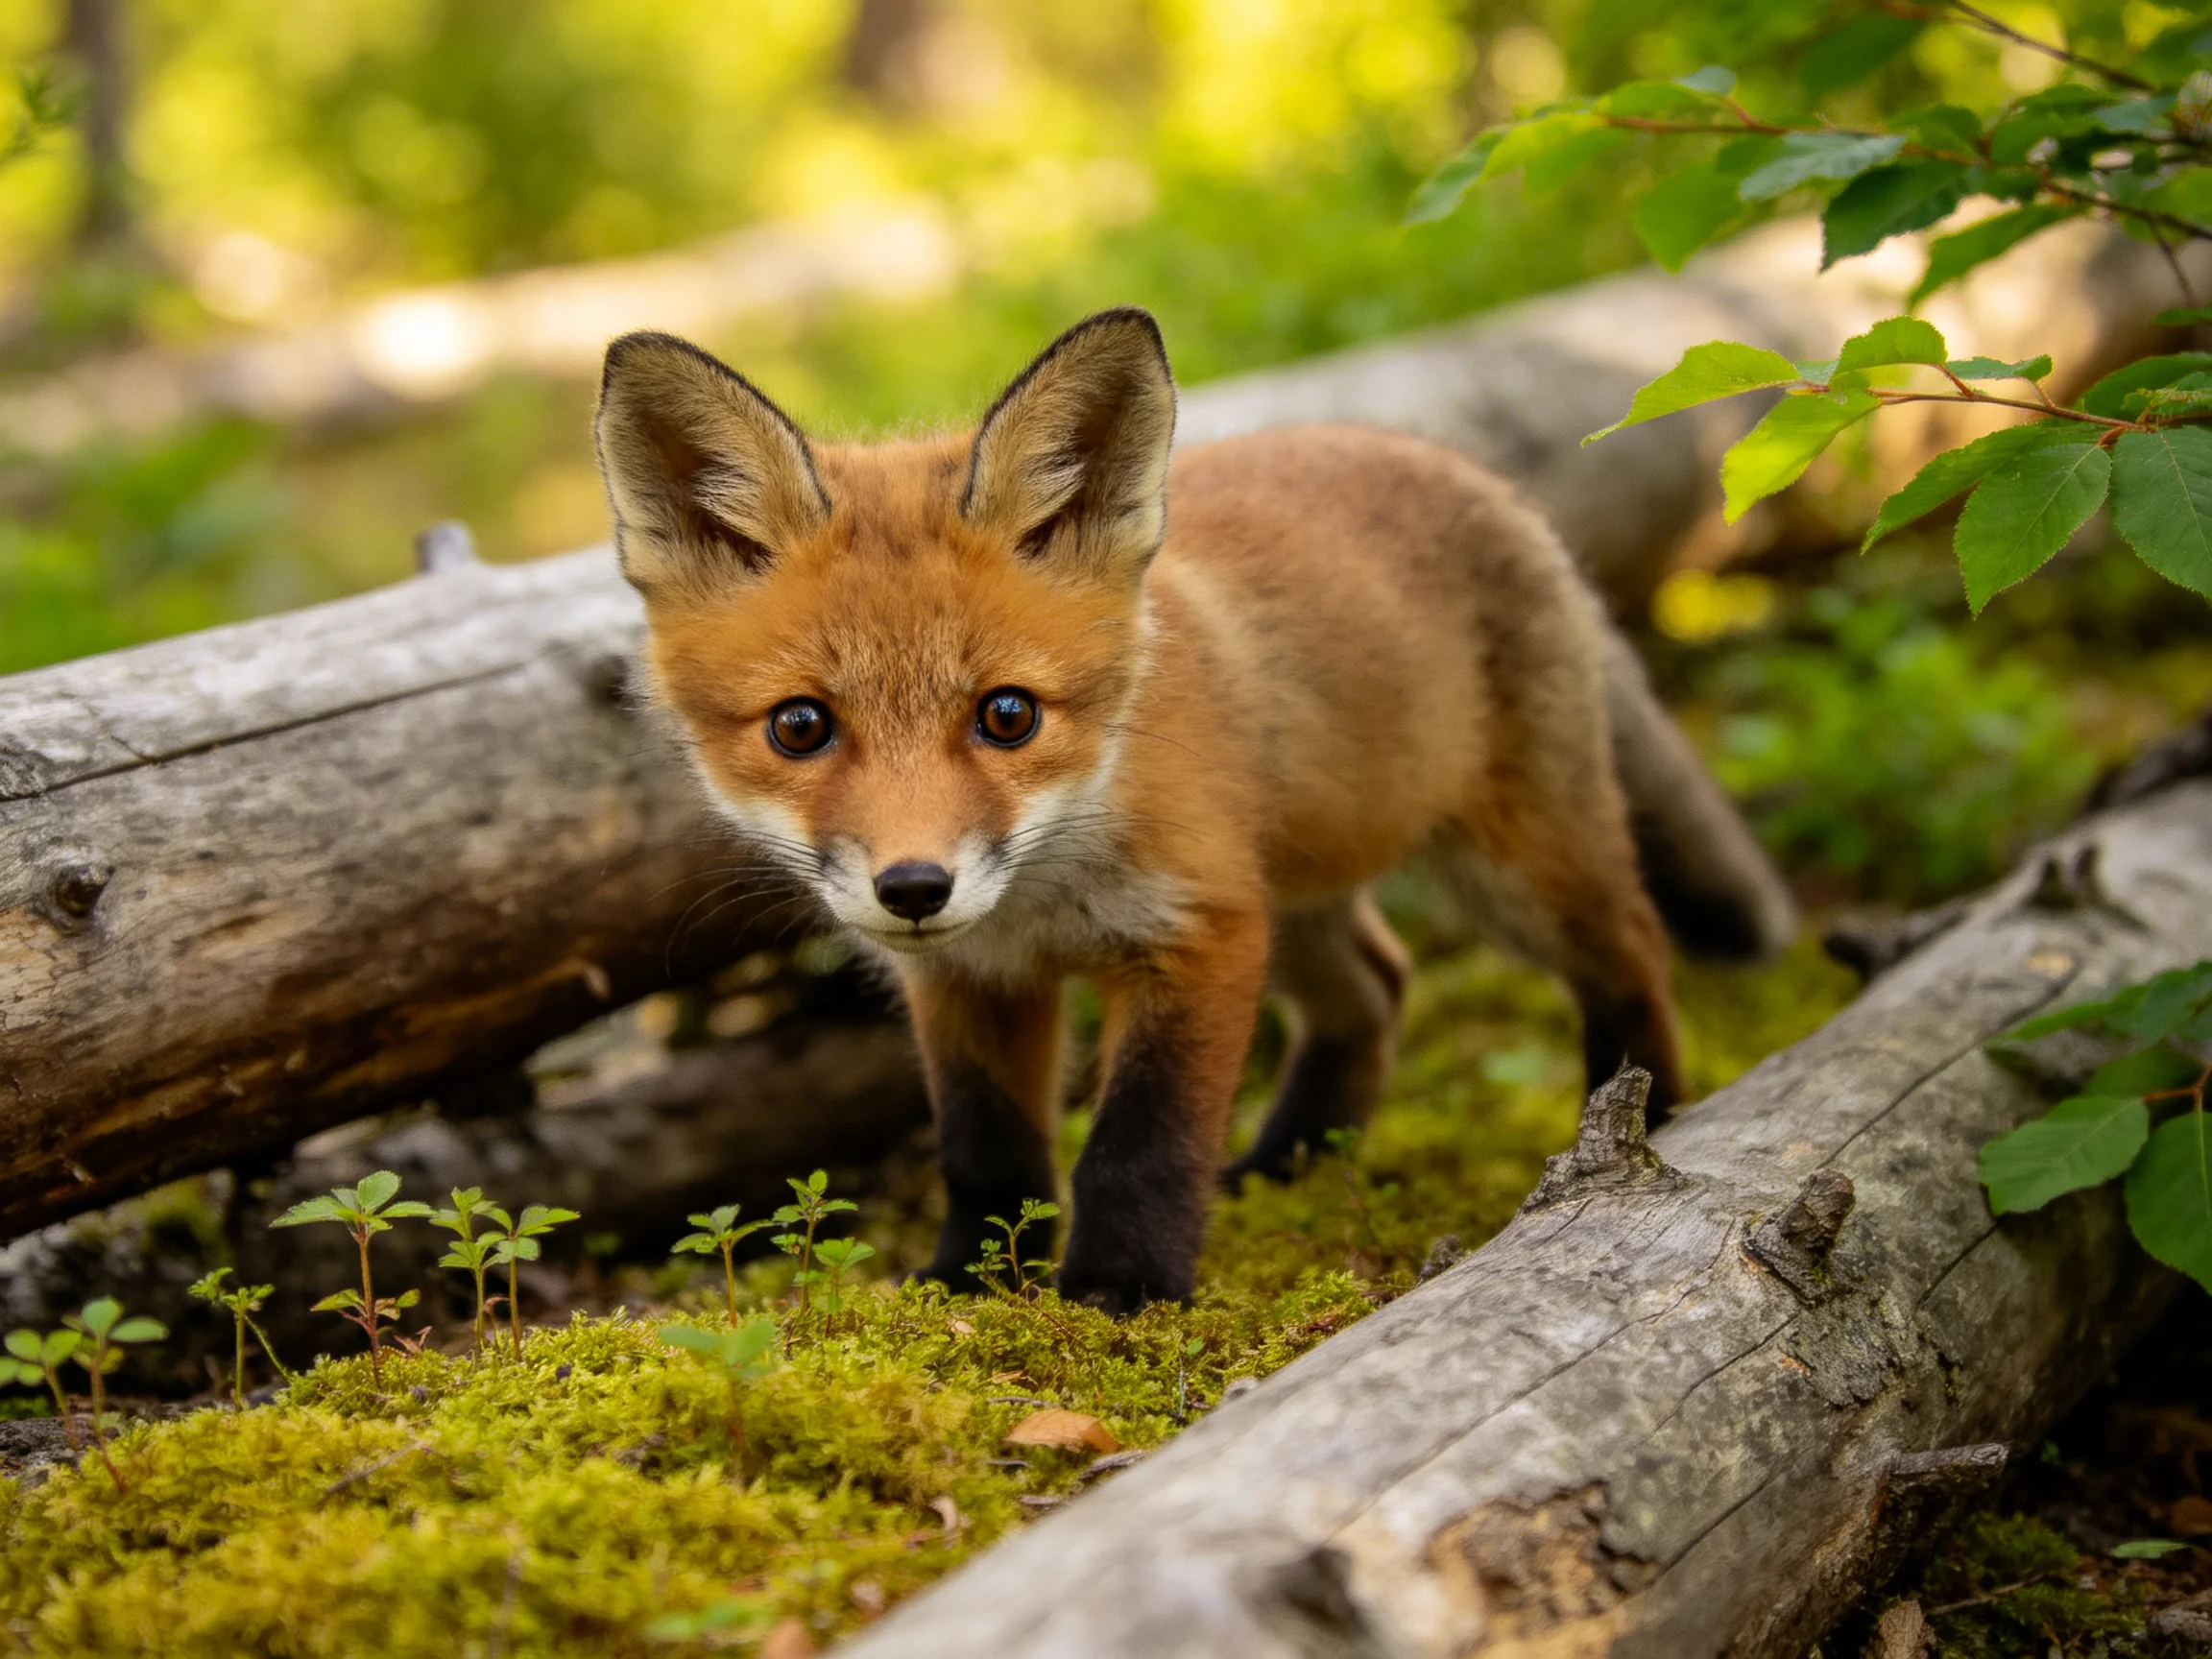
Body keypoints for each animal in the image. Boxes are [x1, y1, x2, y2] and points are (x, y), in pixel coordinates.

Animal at [592, 307, 1796, 1314]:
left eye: (1008, 715)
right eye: (800, 727)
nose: (915, 888)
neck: (1047, 902)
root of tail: (1481, 477)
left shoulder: (1200, 933)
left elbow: (1139, 1144)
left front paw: (1120, 1292)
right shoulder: (969, 980)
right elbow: (987, 1152)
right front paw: (969, 1286)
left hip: (1512, 871)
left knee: (1632, 951)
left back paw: (1650, 1121)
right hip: (1298, 902)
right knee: (1377, 987)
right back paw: (1287, 1165)